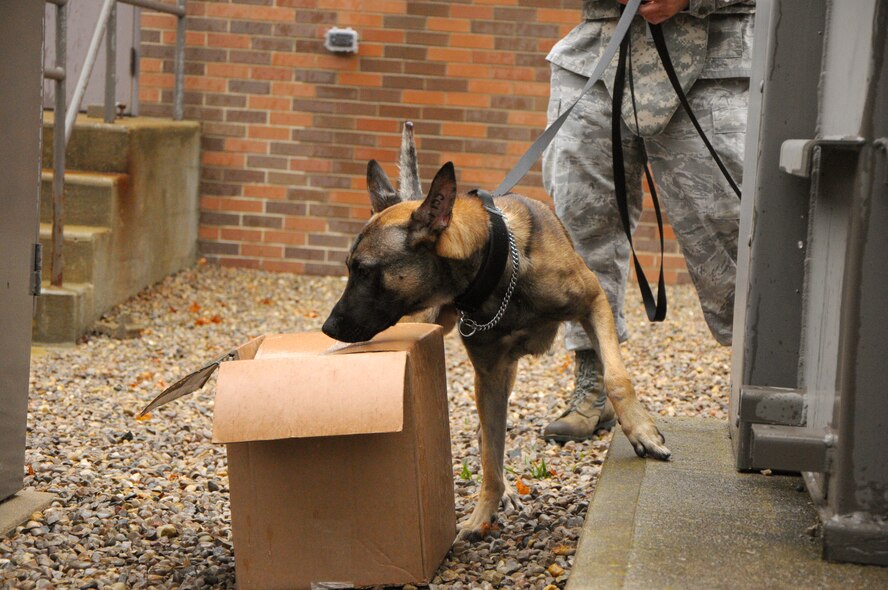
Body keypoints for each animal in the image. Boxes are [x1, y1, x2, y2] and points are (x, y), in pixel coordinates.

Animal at [322, 123, 668, 540]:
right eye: (349, 267)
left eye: (364, 270)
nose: (328, 327)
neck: (498, 271)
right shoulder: (488, 377)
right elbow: (490, 455)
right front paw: (482, 514)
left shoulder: (595, 304)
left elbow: (617, 377)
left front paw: (642, 432)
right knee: (489, 440)